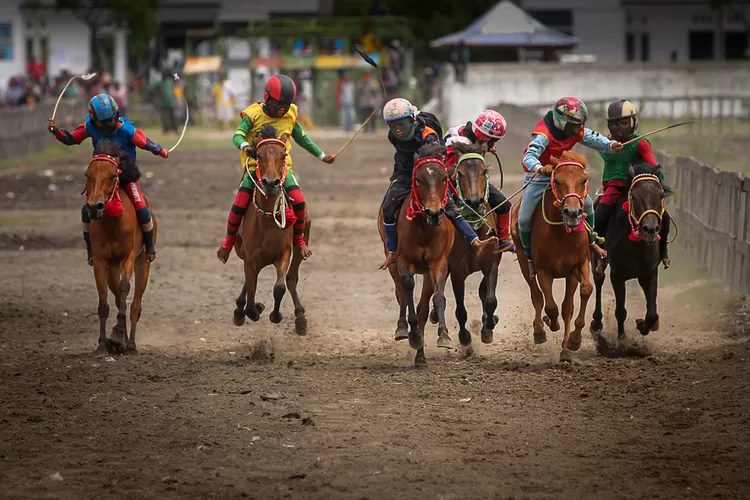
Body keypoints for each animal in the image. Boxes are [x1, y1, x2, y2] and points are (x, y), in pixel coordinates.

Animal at [85, 139, 156, 354]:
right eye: (88, 175)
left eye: (113, 175)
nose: (94, 207)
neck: (113, 224)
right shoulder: (100, 261)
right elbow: (104, 301)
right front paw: (103, 343)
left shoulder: (129, 257)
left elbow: (125, 288)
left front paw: (117, 332)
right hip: (112, 267)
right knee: (116, 296)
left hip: (143, 263)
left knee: (135, 304)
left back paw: (130, 343)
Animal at [231, 125, 310, 336]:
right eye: (258, 155)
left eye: (283, 155)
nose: (271, 183)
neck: (266, 221)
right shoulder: (250, 256)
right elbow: (251, 290)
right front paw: (253, 309)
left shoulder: (284, 252)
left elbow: (279, 287)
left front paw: (276, 315)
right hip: (241, 250)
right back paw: (239, 309)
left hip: (299, 244)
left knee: (291, 279)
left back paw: (300, 317)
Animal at [378, 143, 456, 366]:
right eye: (418, 180)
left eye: (444, 178)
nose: (434, 212)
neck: (424, 228)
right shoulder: (404, 261)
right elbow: (407, 289)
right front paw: (412, 334)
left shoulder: (438, 263)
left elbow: (437, 298)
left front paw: (444, 336)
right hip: (392, 262)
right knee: (401, 294)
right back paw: (403, 329)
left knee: (422, 306)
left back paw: (421, 357)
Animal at [516, 150, 596, 362]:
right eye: (558, 180)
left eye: (583, 180)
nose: (573, 212)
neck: (561, 233)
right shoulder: (544, 270)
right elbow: (550, 306)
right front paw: (551, 324)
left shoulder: (578, 265)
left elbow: (580, 296)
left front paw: (571, 343)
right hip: (523, 262)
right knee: (537, 296)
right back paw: (539, 329)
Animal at [592, 164, 668, 340]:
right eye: (633, 196)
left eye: (660, 195)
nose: (650, 229)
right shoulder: (617, 275)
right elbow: (620, 311)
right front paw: (622, 339)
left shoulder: (649, 273)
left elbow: (652, 314)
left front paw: (643, 325)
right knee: (598, 278)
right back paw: (597, 323)